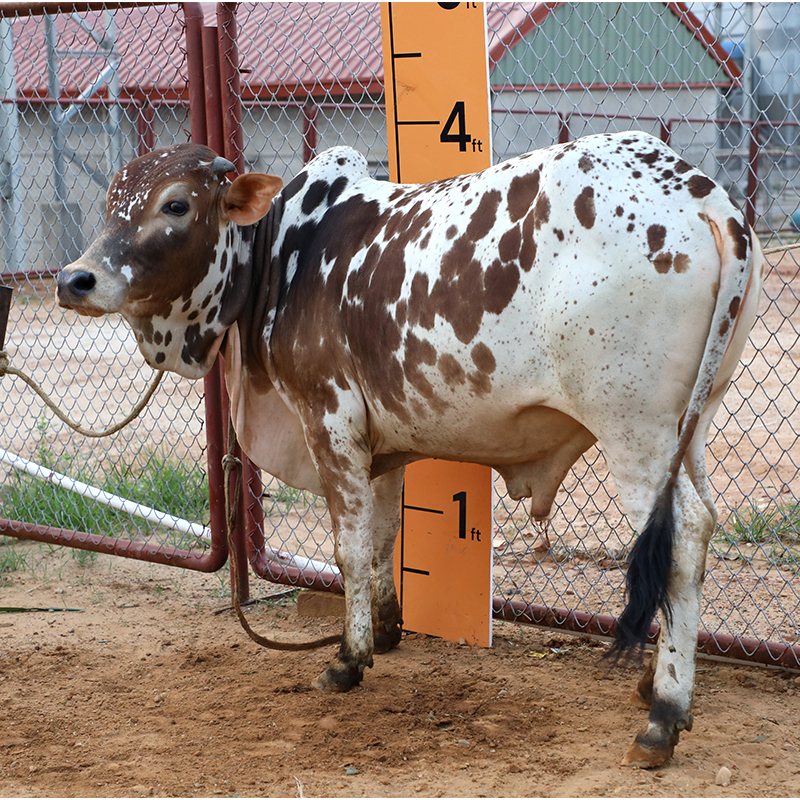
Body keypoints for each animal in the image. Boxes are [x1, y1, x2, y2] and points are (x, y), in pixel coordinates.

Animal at [56, 131, 763, 767]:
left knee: (684, 537)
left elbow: (348, 549)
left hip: (634, 432)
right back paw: (658, 681)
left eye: (175, 204)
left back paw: (663, 715)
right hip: (690, 428)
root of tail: (703, 196)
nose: (75, 279)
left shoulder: (330, 421)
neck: (285, 257)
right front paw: (386, 629)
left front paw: (347, 660)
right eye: (113, 199)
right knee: (698, 531)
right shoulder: (378, 446)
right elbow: (382, 538)